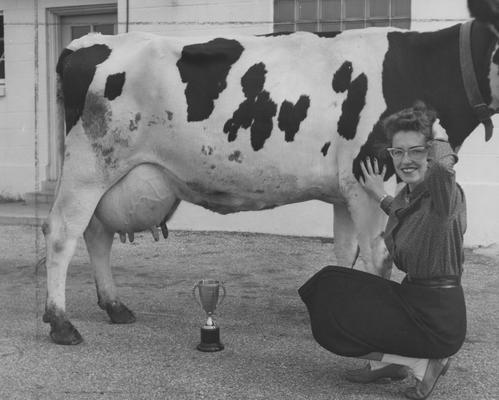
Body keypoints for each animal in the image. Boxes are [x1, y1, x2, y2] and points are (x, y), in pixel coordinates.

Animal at [43, 19, 499, 344]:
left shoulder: (345, 192)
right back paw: (61, 322)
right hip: (89, 166)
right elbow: (378, 257)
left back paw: (113, 305)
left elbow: (346, 254)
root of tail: (89, 43)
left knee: (96, 233)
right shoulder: (364, 178)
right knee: (63, 232)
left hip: (107, 174)